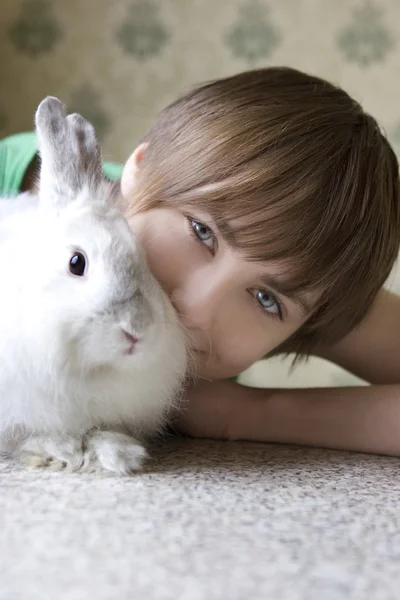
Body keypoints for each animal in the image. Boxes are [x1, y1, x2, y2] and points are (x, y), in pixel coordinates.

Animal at [0, 97, 188, 474]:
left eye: (144, 260)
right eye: (77, 263)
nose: (136, 330)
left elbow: (101, 432)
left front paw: (118, 454)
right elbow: (25, 436)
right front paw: (59, 451)